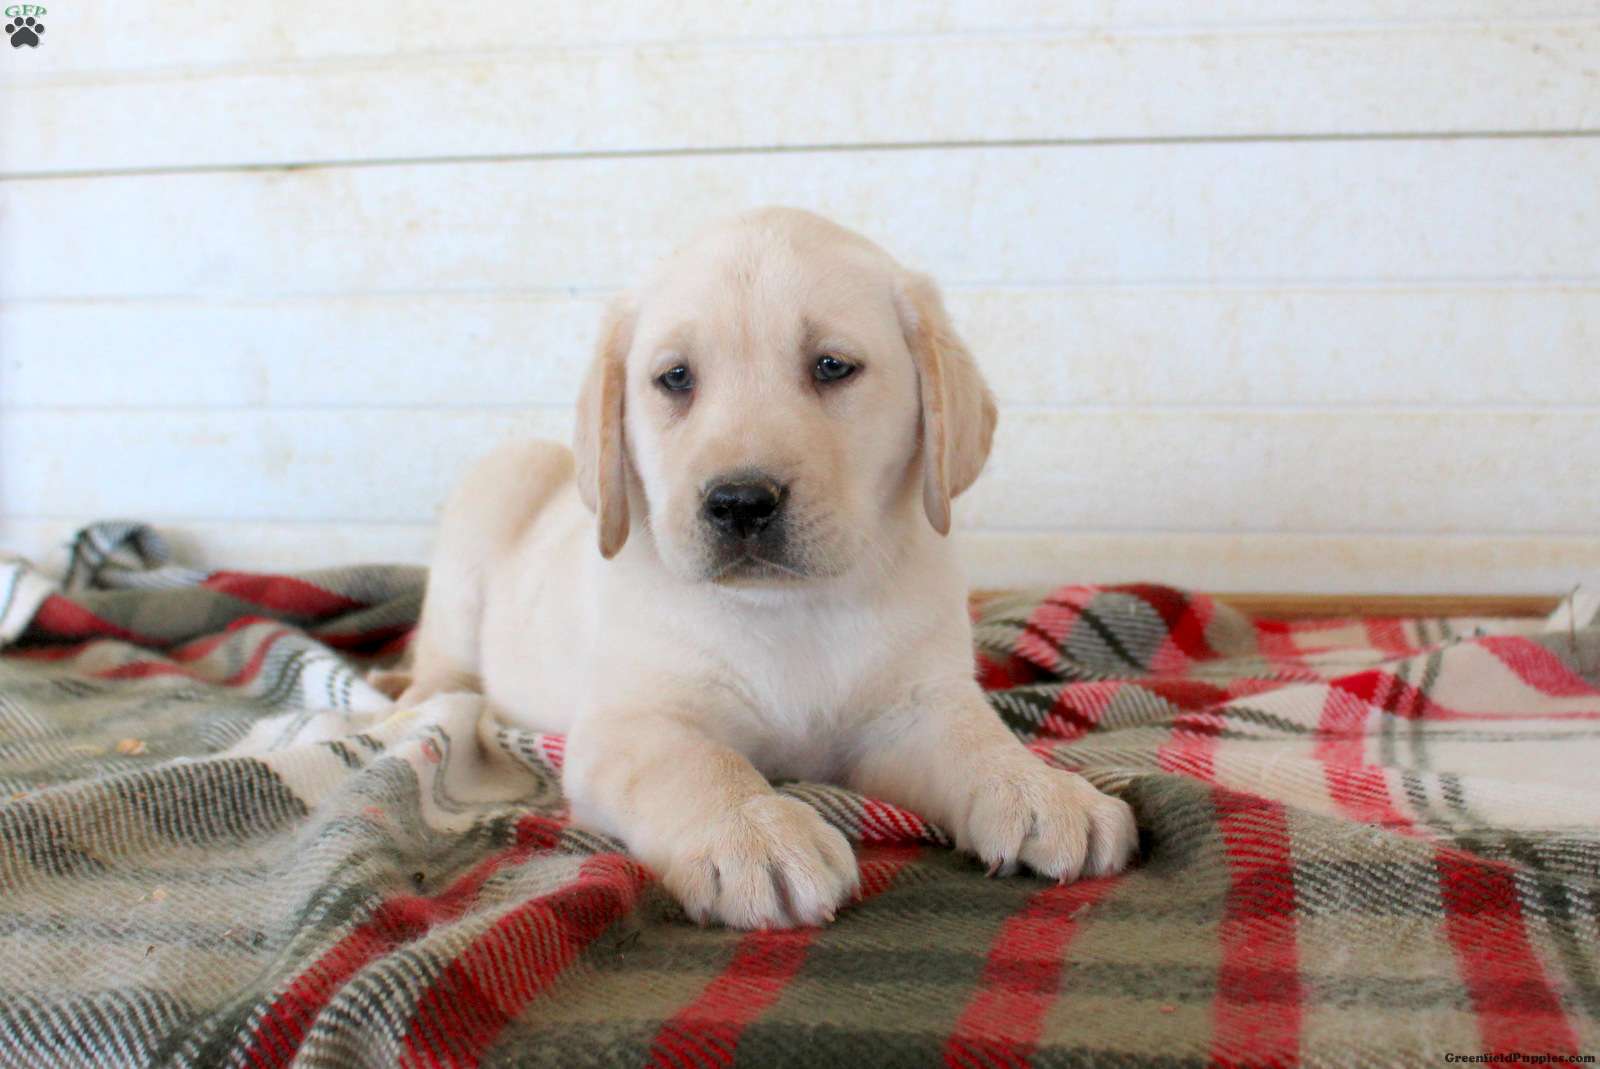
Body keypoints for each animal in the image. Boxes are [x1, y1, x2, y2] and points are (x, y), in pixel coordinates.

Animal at [390, 208, 1137, 928]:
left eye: (832, 366)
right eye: (676, 378)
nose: (740, 501)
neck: (789, 608)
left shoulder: (913, 709)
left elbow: (977, 738)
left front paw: (1039, 788)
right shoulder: (633, 723)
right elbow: (698, 764)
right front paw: (751, 835)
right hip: (492, 499)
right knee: (440, 664)